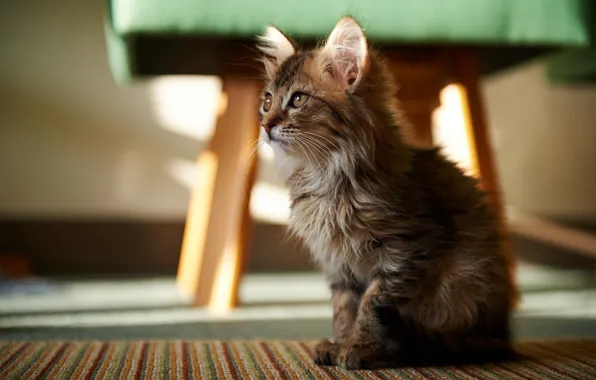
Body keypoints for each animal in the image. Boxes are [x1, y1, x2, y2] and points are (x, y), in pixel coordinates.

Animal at [256, 16, 516, 370]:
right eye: (267, 102)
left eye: (297, 100)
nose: (265, 125)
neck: (327, 175)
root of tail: (504, 334)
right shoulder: (338, 264)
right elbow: (344, 308)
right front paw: (340, 342)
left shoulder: (405, 252)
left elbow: (372, 306)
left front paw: (359, 347)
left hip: (466, 285)